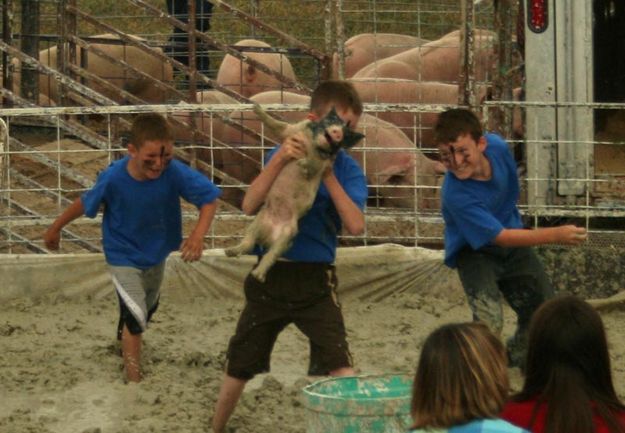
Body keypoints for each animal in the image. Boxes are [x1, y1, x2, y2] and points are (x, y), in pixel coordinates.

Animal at [224, 104, 364, 280]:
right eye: (332, 121)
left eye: (345, 132)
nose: (337, 131)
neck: (312, 143)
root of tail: (269, 236)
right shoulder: (292, 130)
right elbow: (277, 125)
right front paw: (256, 108)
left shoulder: (324, 163)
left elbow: (314, 164)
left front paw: (302, 163)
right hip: (258, 221)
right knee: (248, 244)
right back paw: (230, 252)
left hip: (288, 235)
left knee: (271, 255)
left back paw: (258, 275)